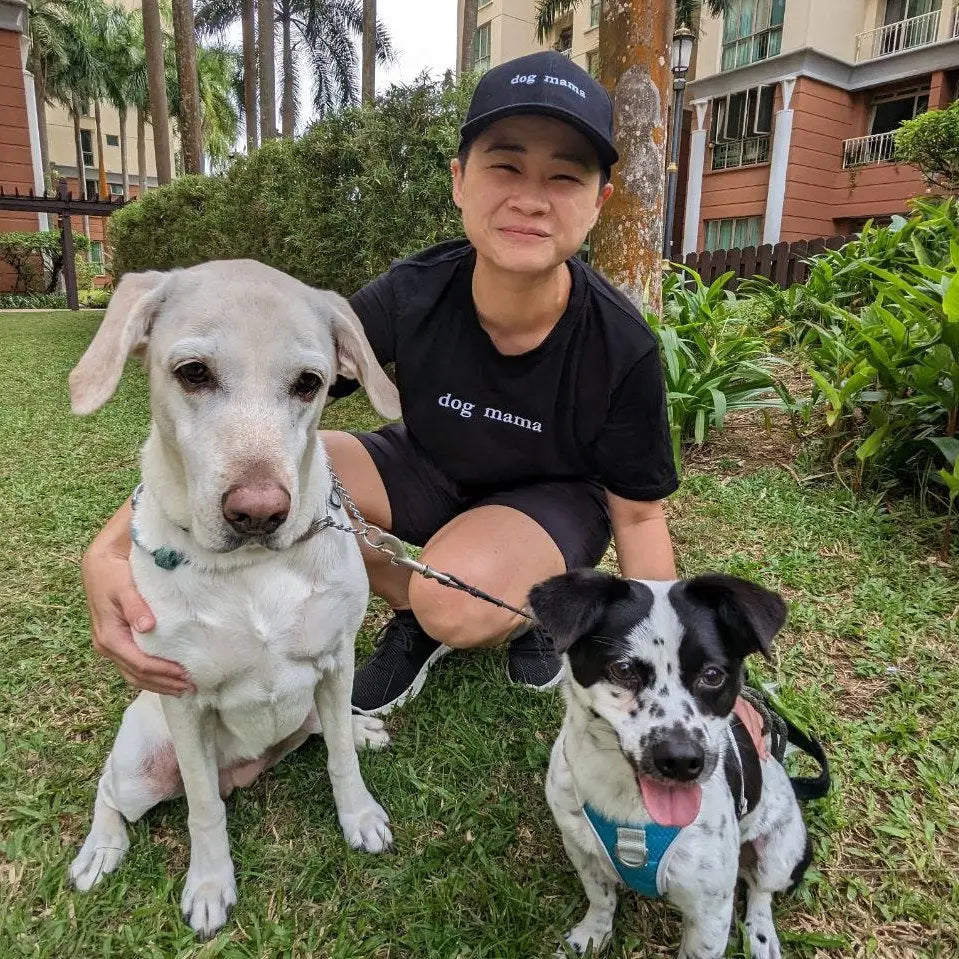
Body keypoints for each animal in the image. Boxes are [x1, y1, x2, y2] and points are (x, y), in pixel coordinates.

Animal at [64, 260, 402, 936]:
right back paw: (100, 849)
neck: (251, 568)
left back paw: (360, 730)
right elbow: (202, 809)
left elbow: (340, 760)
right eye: (193, 372)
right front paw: (210, 884)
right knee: (111, 792)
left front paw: (358, 815)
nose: (260, 513)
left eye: (309, 384)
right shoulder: (185, 701)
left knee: (323, 732)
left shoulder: (337, 661)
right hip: (142, 761)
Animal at [524, 568, 816, 959]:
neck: (631, 810)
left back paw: (761, 936)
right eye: (622, 669)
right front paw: (590, 936)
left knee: (761, 891)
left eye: (713, 675)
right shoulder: (580, 850)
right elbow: (600, 898)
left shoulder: (710, 911)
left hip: (781, 852)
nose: (681, 760)